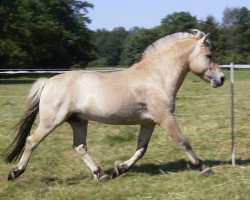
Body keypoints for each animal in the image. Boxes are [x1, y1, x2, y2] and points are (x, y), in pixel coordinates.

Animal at [5, 29, 225, 181]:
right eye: (209, 55)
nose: (221, 78)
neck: (156, 77)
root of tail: (48, 82)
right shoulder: (164, 117)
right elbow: (183, 142)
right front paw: (205, 168)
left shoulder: (149, 122)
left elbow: (141, 149)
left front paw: (120, 169)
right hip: (51, 121)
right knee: (31, 141)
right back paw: (15, 172)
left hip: (78, 121)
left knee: (79, 147)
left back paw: (101, 174)